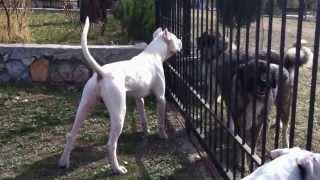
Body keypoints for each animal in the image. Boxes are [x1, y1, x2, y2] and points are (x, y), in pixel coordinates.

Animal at [58, 17, 182, 174]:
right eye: (176, 38)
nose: (181, 40)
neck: (154, 53)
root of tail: (102, 73)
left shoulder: (139, 99)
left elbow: (143, 117)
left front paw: (145, 131)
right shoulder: (161, 98)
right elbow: (160, 120)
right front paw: (163, 135)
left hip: (84, 106)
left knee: (71, 135)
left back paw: (63, 162)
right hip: (119, 113)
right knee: (111, 144)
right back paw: (117, 169)